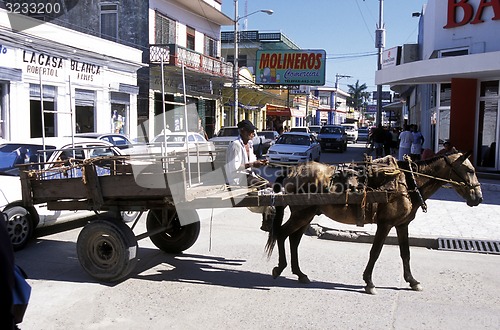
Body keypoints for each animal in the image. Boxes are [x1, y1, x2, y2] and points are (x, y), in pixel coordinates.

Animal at [268, 152, 482, 294]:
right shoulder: (385, 224)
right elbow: (375, 252)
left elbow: (405, 253)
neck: (409, 182)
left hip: (307, 215)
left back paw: (299, 273)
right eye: (470, 170)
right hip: (302, 214)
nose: (478, 197)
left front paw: (412, 281)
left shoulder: (402, 225)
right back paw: (279, 268)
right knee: (282, 234)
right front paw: (369, 282)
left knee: (293, 240)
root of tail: (292, 171)